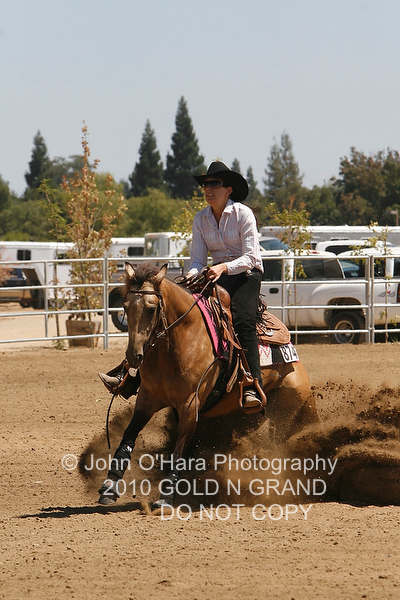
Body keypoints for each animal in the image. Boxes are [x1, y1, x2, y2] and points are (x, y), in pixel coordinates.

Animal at [98, 262, 317, 508]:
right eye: (125, 306)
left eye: (151, 308)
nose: (134, 356)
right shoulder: (147, 399)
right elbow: (129, 436)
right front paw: (109, 486)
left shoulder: (190, 405)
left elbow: (179, 449)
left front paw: (166, 496)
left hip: (289, 408)